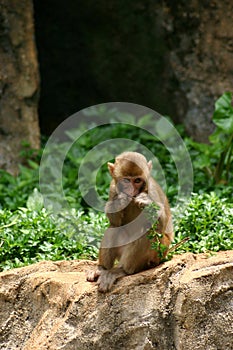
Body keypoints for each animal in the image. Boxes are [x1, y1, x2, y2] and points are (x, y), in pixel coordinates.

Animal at [86, 152, 174, 292]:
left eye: (137, 180)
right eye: (126, 180)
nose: (131, 191)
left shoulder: (152, 190)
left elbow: (161, 226)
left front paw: (144, 201)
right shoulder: (113, 187)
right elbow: (114, 221)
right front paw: (120, 201)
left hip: (159, 253)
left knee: (147, 232)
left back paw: (122, 271)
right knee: (113, 227)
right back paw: (102, 269)